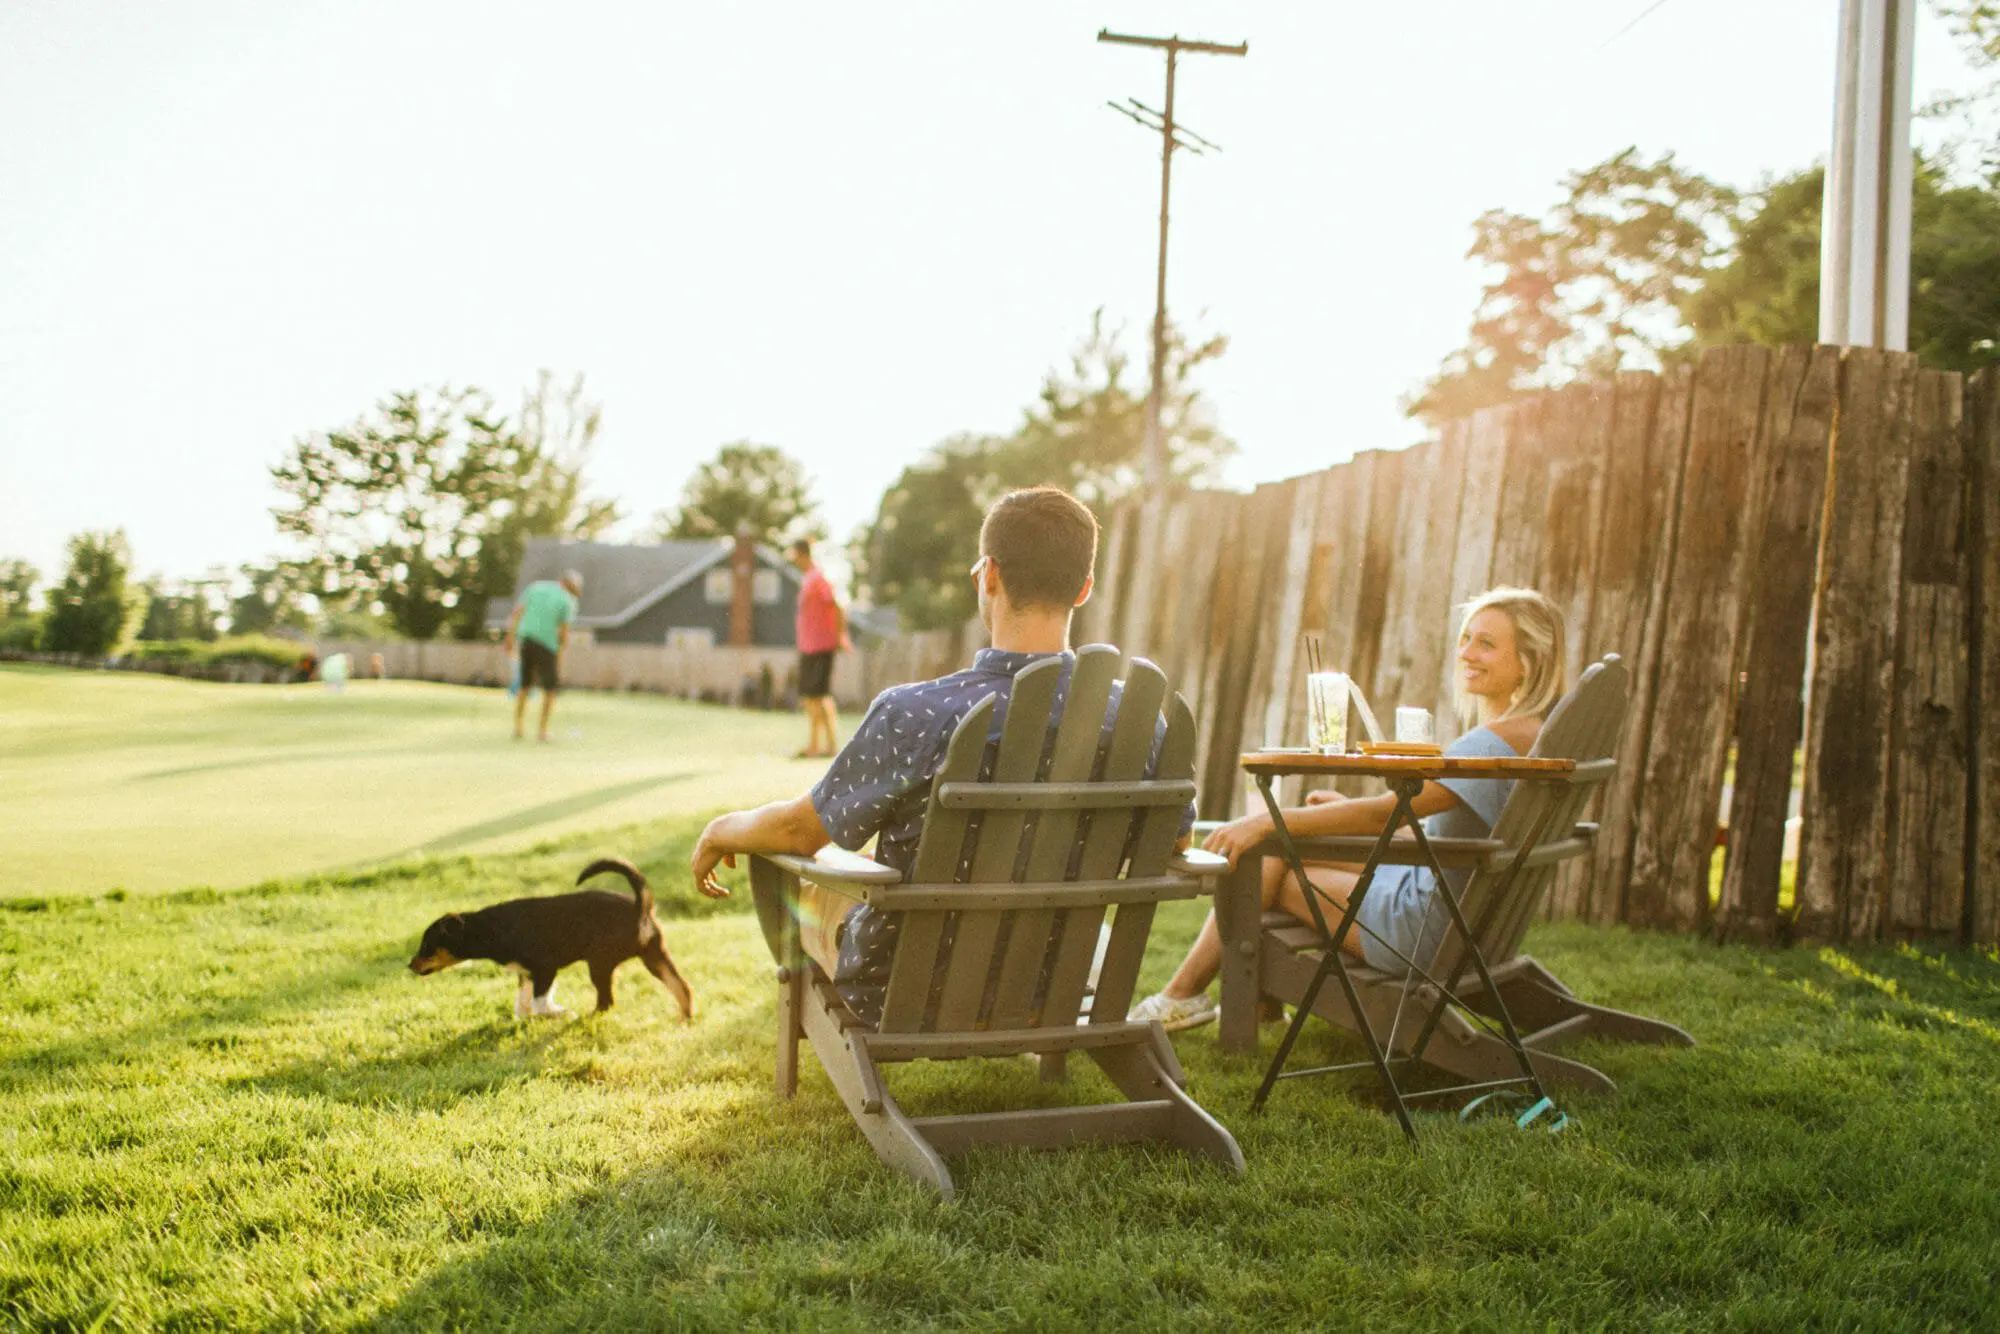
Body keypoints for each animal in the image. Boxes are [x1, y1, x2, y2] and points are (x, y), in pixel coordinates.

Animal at [408, 860, 696, 1016]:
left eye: (427, 946)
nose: (410, 965)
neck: (493, 929)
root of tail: (639, 906)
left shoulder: (545, 968)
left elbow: (539, 1003)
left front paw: (560, 1014)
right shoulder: (526, 972)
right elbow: (523, 1004)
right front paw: (527, 1018)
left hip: (600, 964)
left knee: (607, 1001)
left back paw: (584, 1018)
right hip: (654, 956)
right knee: (682, 988)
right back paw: (684, 1020)